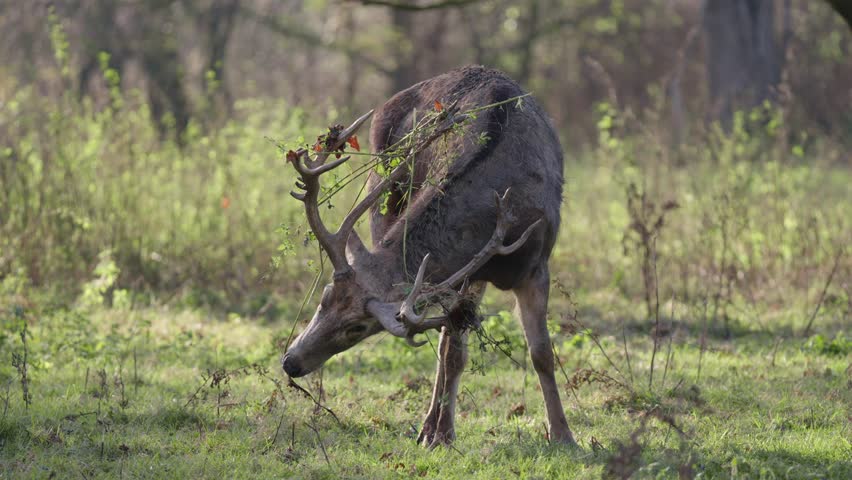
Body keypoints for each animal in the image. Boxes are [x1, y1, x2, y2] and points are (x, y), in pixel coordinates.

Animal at [281, 65, 574, 448]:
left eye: (358, 326)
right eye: (324, 297)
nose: (291, 362)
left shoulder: (535, 265)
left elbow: (541, 353)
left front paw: (563, 434)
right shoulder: (465, 273)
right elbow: (453, 354)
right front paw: (442, 434)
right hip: (385, 196)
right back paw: (430, 427)